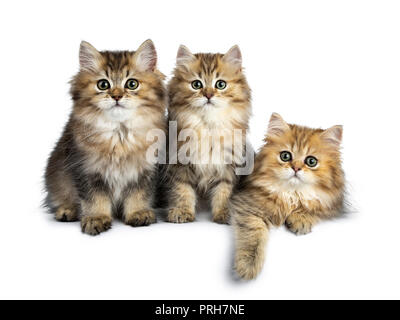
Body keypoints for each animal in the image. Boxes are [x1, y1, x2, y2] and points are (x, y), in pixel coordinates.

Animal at [44, 39, 166, 235]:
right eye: (103, 85)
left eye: (132, 84)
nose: (116, 96)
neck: (119, 135)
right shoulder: (86, 169)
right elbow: (94, 199)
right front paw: (96, 218)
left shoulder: (145, 171)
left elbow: (138, 195)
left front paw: (138, 213)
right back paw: (67, 211)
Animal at [164, 45, 252, 225]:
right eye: (196, 84)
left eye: (221, 84)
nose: (208, 95)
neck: (207, 126)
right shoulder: (179, 163)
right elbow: (182, 190)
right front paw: (182, 211)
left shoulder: (228, 165)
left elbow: (224, 192)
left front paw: (224, 214)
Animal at [231, 114, 344, 278]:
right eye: (285, 156)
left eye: (311, 161)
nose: (296, 168)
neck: (291, 194)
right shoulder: (248, 206)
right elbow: (254, 235)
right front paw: (248, 265)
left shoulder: (334, 206)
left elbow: (313, 208)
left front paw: (300, 220)